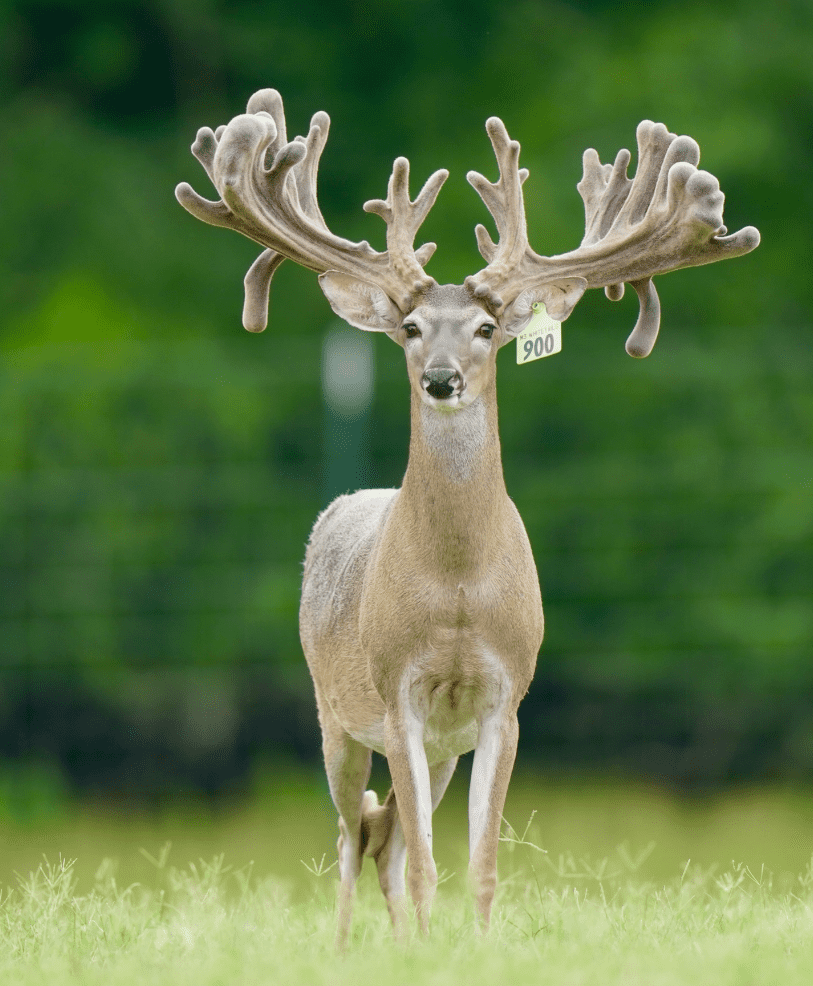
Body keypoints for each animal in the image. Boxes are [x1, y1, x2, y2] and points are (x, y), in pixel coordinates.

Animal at [176, 88, 759, 946]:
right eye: (412, 328)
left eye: (486, 328)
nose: (442, 378)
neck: (454, 592)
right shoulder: (397, 694)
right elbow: (425, 857)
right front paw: (424, 941)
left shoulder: (503, 698)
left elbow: (478, 862)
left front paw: (476, 945)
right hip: (333, 714)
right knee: (352, 834)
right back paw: (348, 946)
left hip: (434, 745)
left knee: (380, 834)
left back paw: (397, 942)